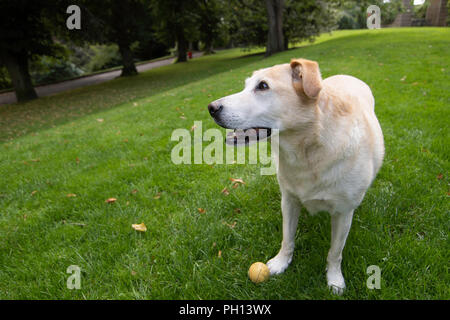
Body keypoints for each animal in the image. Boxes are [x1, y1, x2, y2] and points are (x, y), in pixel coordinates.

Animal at [207, 58, 384, 296]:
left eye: (262, 86)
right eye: (246, 85)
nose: (211, 108)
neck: (307, 152)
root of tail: (346, 75)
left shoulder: (343, 213)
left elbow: (335, 252)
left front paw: (334, 279)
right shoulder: (289, 201)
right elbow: (287, 238)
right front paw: (281, 262)